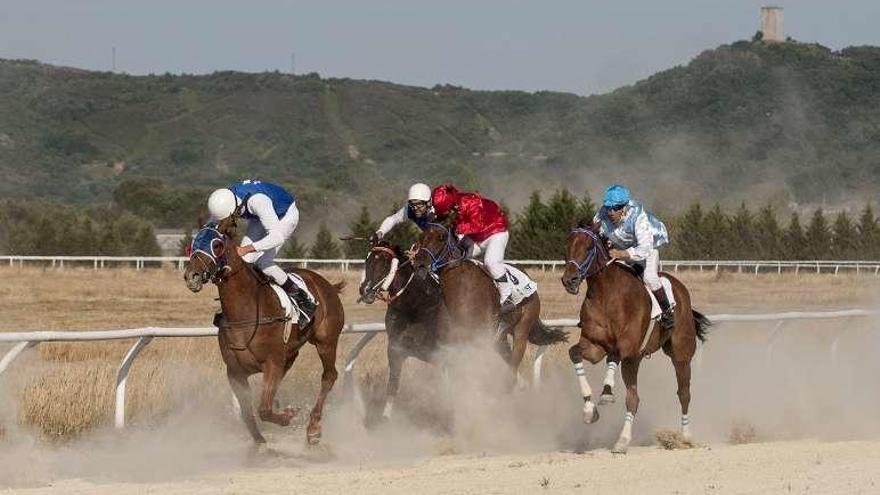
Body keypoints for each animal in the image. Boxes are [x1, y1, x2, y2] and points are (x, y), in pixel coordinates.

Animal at [184, 223, 346, 448]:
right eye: (193, 243)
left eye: (216, 245)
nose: (192, 276)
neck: (246, 311)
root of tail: (327, 284)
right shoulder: (235, 371)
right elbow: (247, 412)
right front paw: (260, 441)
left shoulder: (272, 363)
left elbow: (264, 410)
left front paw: (288, 415)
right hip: (292, 351)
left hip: (326, 341)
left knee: (329, 376)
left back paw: (314, 428)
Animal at [358, 242, 450, 420]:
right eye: (367, 260)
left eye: (384, 262)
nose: (365, 290)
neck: (416, 305)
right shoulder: (396, 348)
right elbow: (393, 383)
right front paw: (386, 417)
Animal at [410, 223, 568, 382]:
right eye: (421, 237)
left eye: (441, 237)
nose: (418, 262)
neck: (461, 291)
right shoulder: (449, 343)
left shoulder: (478, 342)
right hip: (501, 338)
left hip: (522, 329)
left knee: (512, 368)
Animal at [560, 227, 712, 456]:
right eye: (567, 246)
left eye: (588, 248)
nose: (569, 280)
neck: (606, 295)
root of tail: (681, 289)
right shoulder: (595, 346)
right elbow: (574, 353)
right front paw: (588, 409)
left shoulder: (627, 344)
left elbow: (614, 355)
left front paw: (606, 392)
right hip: (634, 361)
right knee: (633, 400)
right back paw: (622, 442)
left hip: (681, 355)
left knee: (684, 393)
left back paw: (685, 437)